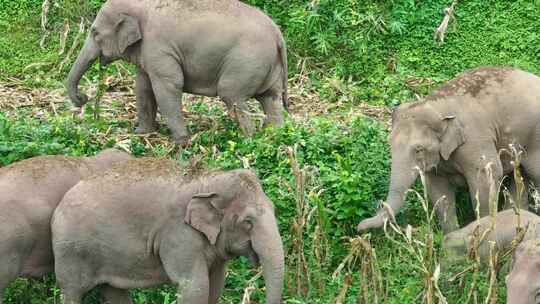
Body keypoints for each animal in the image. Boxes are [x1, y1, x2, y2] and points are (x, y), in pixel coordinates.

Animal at [51, 158, 284, 304]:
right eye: (248, 221)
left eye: (275, 209)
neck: (207, 181)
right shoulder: (178, 235)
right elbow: (195, 286)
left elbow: (216, 284)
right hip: (70, 252)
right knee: (71, 291)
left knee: (113, 290)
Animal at [67, 0, 288, 146]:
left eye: (94, 32)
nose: (83, 97)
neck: (141, 5)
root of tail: (278, 35)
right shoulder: (149, 52)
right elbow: (143, 88)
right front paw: (141, 132)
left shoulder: (159, 47)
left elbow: (168, 86)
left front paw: (182, 142)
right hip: (267, 66)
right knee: (271, 100)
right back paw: (275, 137)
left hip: (247, 61)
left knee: (232, 96)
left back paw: (248, 139)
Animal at [356, 66, 540, 233]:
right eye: (389, 144)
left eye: (418, 149)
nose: (359, 227)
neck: (436, 105)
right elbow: (438, 191)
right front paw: (451, 239)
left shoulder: (474, 139)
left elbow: (487, 176)